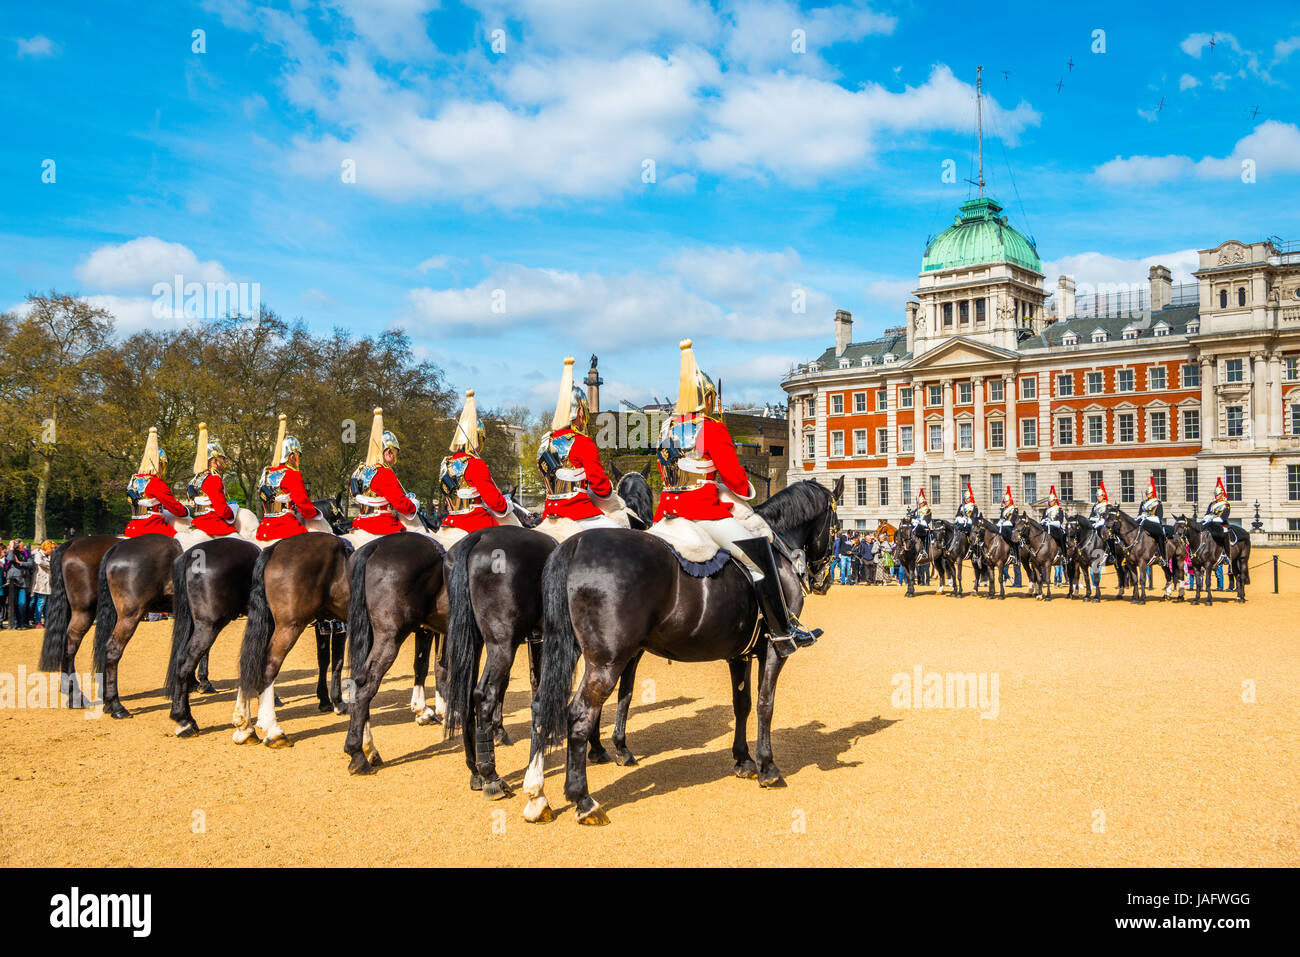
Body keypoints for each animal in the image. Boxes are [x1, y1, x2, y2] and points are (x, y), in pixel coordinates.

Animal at [519, 477, 838, 826]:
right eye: (835, 524)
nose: (823, 580)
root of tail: (574, 545)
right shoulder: (774, 649)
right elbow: (765, 704)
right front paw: (768, 767)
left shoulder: (739, 654)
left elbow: (742, 704)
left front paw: (743, 761)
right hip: (606, 661)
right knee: (579, 714)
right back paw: (583, 800)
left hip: (567, 650)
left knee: (542, 705)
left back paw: (537, 796)